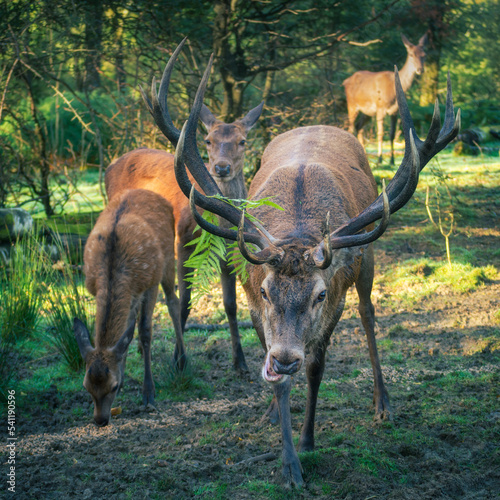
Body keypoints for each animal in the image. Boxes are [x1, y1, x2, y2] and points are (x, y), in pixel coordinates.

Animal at [73, 188, 185, 426]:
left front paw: (148, 393)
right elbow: (126, 334)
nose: (100, 420)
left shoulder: (150, 283)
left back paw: (182, 360)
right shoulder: (97, 290)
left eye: (113, 387)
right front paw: (125, 373)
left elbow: (145, 330)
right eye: (86, 386)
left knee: (173, 302)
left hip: (168, 259)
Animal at [104, 39, 264, 376]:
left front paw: (240, 360)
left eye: (243, 141)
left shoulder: (229, 249)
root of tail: (110, 165)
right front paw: (179, 358)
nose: (221, 168)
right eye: (208, 140)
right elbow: (184, 300)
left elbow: (231, 304)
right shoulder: (184, 242)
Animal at [174, 52, 458, 486]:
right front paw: (287, 460)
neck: (296, 230)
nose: (285, 359)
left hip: (367, 259)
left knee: (369, 315)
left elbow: (316, 369)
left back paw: (383, 402)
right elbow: (277, 381)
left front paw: (307, 443)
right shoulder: (256, 310)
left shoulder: (334, 304)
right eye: (265, 291)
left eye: (320, 294)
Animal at [344, 33, 430, 166]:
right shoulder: (381, 107)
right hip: (352, 105)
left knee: (359, 127)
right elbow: (380, 134)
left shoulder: (394, 111)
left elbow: (391, 134)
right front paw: (380, 159)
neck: (392, 91)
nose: (420, 69)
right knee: (351, 128)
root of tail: (345, 81)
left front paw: (392, 160)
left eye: (424, 55)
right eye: (411, 54)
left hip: (367, 112)